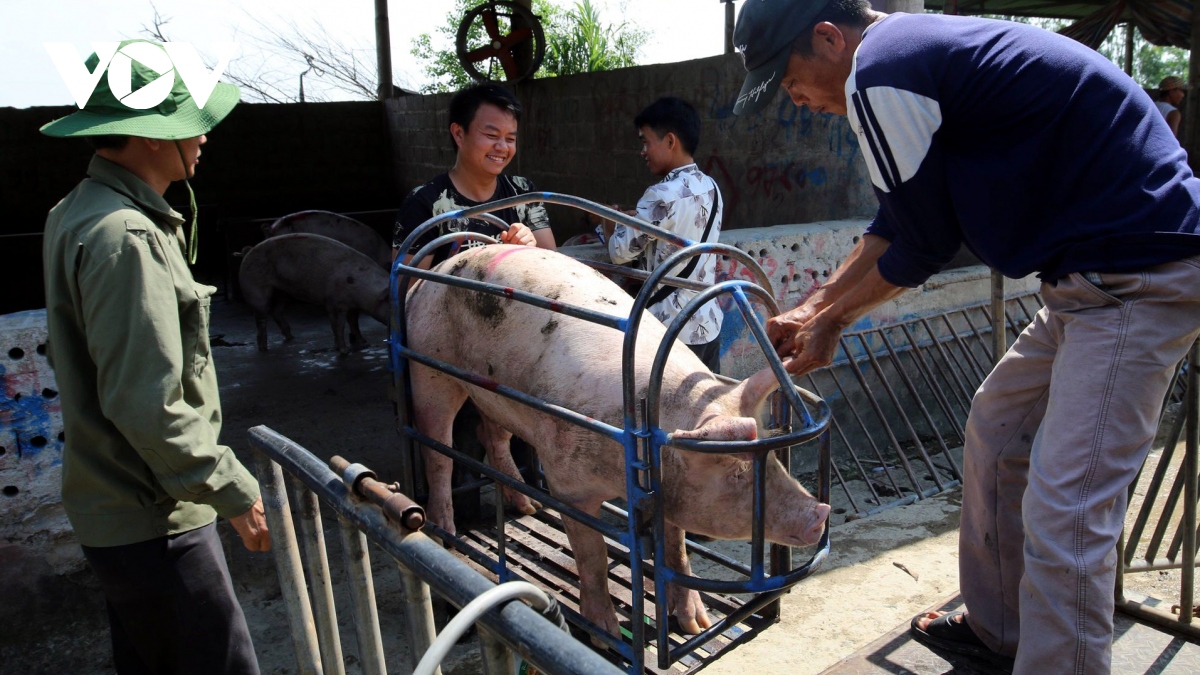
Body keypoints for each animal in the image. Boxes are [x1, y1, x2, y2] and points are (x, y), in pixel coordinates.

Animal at [241, 233, 391, 353]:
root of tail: (249, 251)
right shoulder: (336, 302)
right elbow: (339, 325)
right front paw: (343, 350)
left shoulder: (352, 305)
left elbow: (353, 323)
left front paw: (364, 343)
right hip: (255, 287)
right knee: (261, 317)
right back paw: (264, 349)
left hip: (282, 292)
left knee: (276, 310)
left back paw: (290, 337)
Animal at [388, 192, 830, 667]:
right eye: (735, 472)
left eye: (772, 458)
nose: (820, 512)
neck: (648, 433)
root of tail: (436, 268)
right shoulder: (568, 482)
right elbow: (593, 555)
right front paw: (604, 637)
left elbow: (676, 550)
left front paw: (698, 625)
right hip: (427, 366)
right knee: (438, 453)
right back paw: (448, 538)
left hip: (493, 390)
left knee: (495, 437)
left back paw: (528, 508)